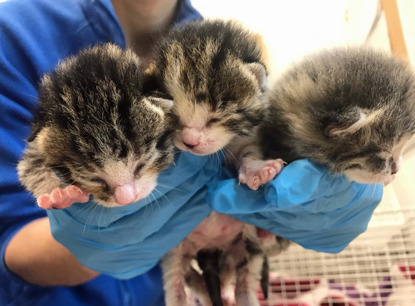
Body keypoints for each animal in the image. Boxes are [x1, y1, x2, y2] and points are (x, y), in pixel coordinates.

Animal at [17, 43, 176, 209]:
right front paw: (59, 194)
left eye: (141, 165)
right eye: (94, 179)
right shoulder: (35, 145)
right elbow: (29, 165)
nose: (127, 199)